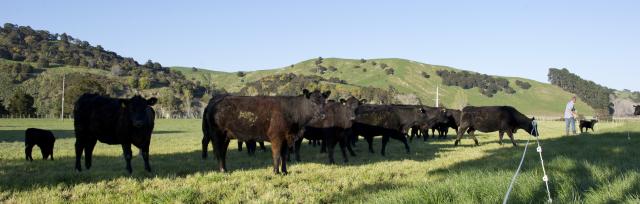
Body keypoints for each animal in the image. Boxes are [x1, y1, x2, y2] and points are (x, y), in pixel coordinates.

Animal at [202, 88, 330, 175]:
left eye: (324, 102)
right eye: (313, 102)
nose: (323, 115)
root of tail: (214, 101)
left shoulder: (286, 138)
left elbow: (284, 156)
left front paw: (284, 171)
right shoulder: (276, 137)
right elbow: (276, 155)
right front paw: (276, 172)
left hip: (226, 136)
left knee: (223, 152)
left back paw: (225, 169)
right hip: (216, 134)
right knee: (218, 151)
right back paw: (222, 170)